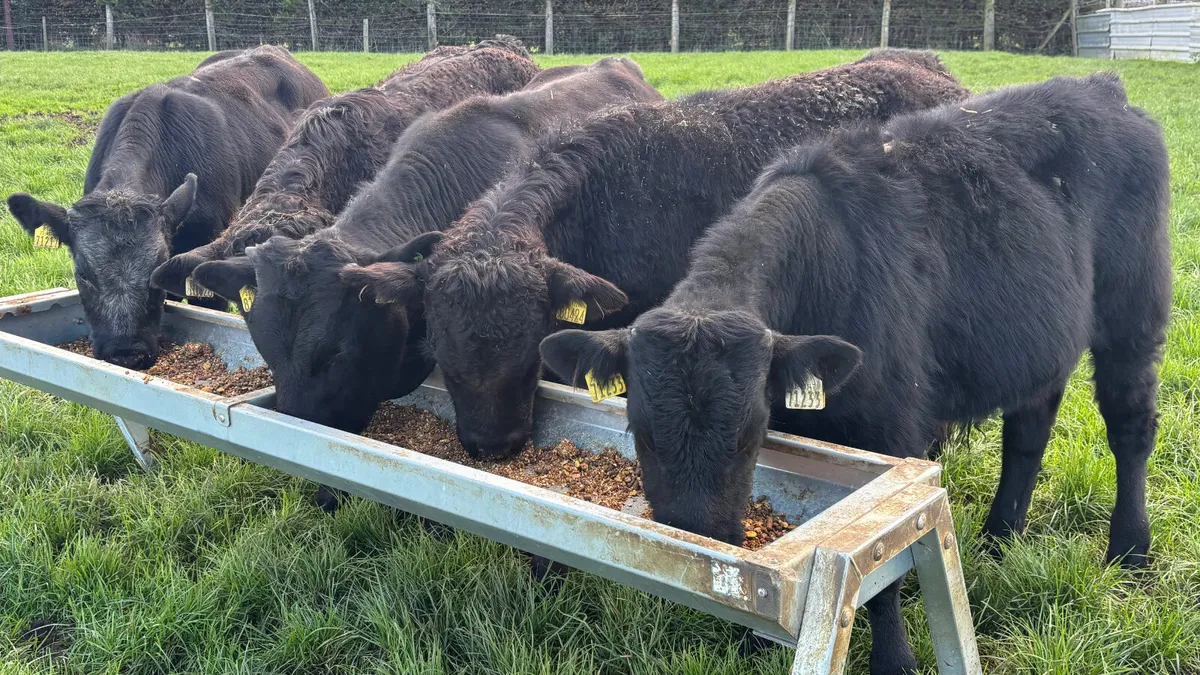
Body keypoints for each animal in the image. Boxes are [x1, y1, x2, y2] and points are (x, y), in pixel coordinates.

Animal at [540, 73, 1170, 674]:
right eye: (640, 431)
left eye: (748, 434)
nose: (700, 532)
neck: (828, 267)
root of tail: (1102, 89)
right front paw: (753, 638)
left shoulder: (892, 429)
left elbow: (882, 569)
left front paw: (894, 660)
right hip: (1041, 341)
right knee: (1029, 431)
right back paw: (999, 539)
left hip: (1135, 314)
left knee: (1130, 428)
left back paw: (1130, 552)